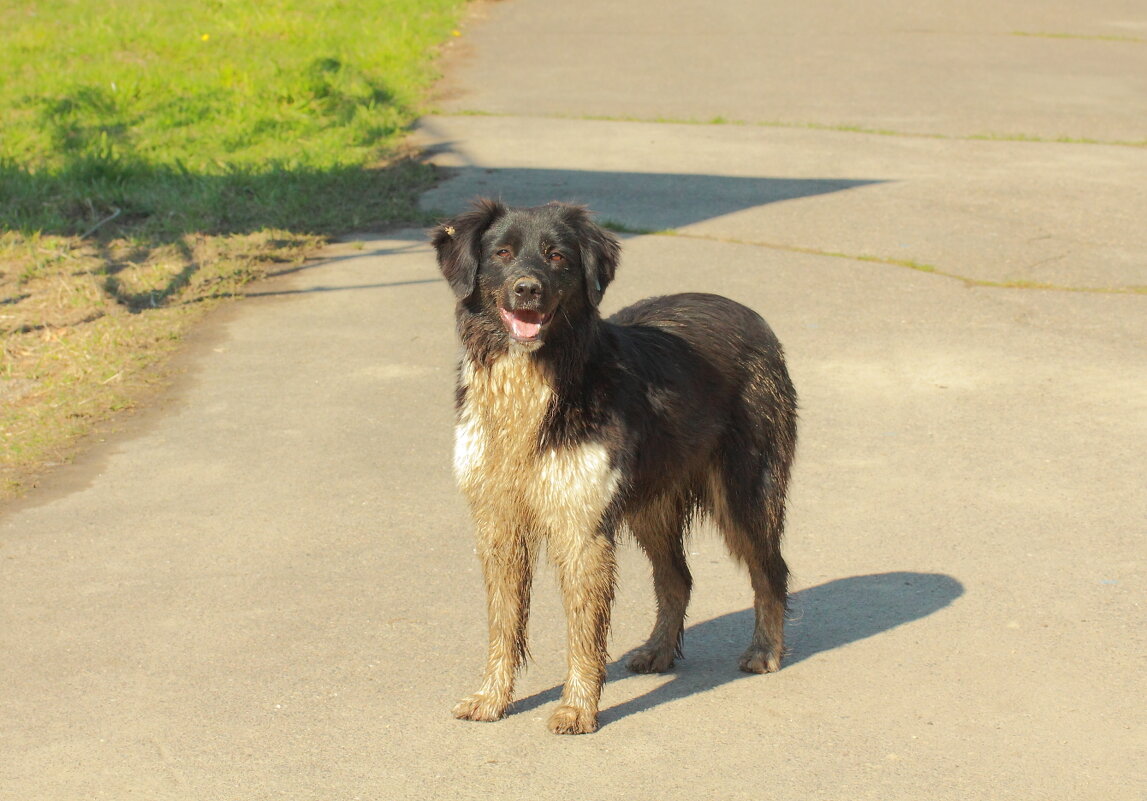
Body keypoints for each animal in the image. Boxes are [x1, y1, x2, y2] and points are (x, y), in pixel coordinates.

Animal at [431, 198, 798, 729]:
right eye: (501, 253)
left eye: (557, 256)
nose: (528, 289)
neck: (532, 382)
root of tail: (752, 317)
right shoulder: (498, 520)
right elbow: (504, 622)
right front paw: (491, 698)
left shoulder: (581, 522)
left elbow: (583, 632)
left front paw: (578, 708)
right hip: (652, 503)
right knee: (677, 578)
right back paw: (658, 651)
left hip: (745, 492)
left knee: (772, 571)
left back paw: (765, 651)